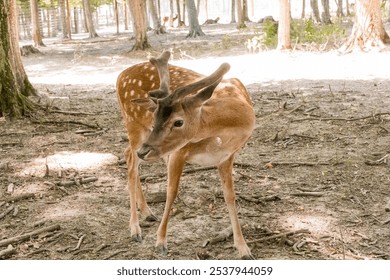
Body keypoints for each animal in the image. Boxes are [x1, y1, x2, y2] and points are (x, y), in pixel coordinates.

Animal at [116, 51, 256, 260]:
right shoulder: (178, 151)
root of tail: (119, 76)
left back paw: (147, 212)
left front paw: (243, 248)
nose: (145, 151)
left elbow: (230, 196)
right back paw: (135, 229)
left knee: (128, 155)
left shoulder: (227, 157)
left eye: (178, 122)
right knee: (132, 163)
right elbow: (171, 192)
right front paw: (161, 242)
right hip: (134, 125)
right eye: (155, 116)